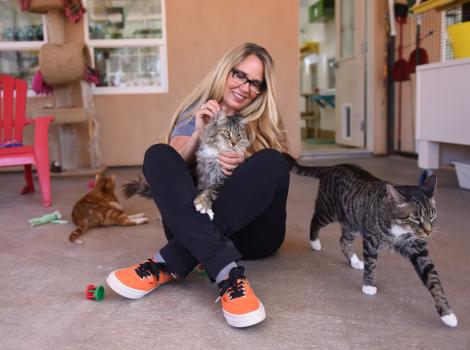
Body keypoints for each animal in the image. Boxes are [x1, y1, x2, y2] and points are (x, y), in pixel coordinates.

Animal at [284, 155, 458, 328]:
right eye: (415, 218)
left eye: (433, 215)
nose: (429, 231)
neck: (399, 230)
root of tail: (333, 166)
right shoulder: (371, 240)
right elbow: (372, 264)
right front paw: (369, 286)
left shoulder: (417, 249)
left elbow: (434, 280)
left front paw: (447, 314)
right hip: (329, 210)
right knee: (315, 220)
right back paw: (315, 242)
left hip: (352, 221)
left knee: (344, 241)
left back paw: (354, 261)